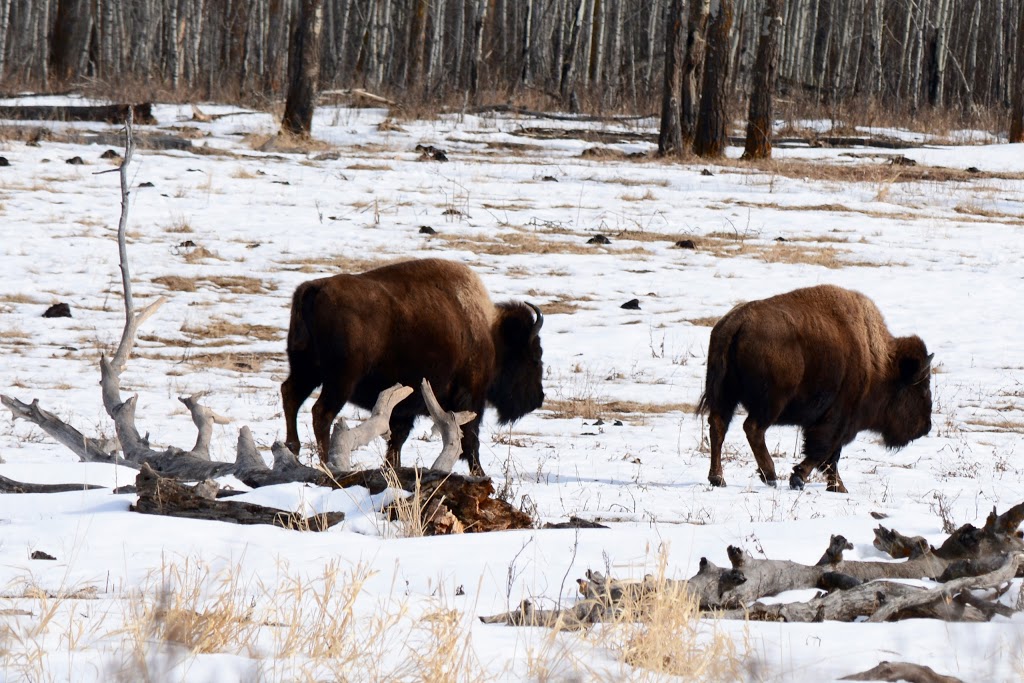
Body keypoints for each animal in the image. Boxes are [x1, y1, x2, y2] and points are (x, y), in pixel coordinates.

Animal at [280, 258, 544, 475]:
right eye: (535, 356)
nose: (538, 398)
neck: (490, 334)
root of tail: (313, 289)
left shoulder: (403, 407)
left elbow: (397, 438)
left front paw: (391, 467)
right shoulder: (469, 398)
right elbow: (470, 439)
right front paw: (480, 474)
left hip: (306, 371)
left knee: (290, 395)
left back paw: (293, 449)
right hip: (339, 380)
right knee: (321, 412)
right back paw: (327, 463)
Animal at [700, 286, 933, 493]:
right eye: (921, 389)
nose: (926, 427)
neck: (880, 364)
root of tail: (736, 323)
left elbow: (829, 457)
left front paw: (838, 488)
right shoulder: (837, 420)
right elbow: (824, 452)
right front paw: (800, 479)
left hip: (725, 395)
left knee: (718, 426)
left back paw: (718, 479)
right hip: (771, 403)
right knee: (753, 428)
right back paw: (770, 475)